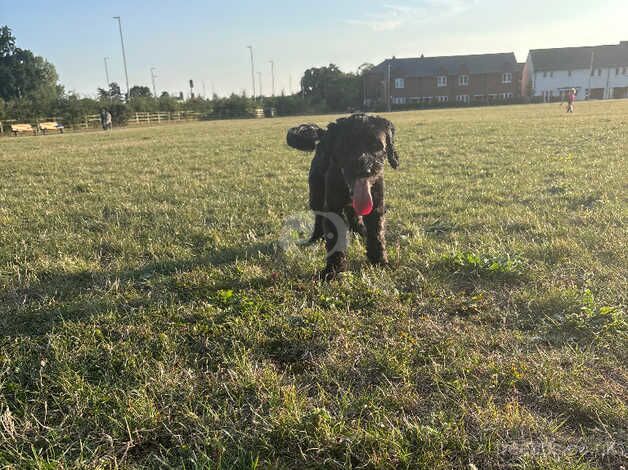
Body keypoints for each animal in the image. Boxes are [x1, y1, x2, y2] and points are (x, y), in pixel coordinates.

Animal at [288, 114, 400, 280]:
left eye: (376, 146)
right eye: (346, 146)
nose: (364, 168)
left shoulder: (376, 206)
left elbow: (377, 234)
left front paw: (379, 261)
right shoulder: (332, 209)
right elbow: (335, 238)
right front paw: (333, 270)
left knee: (354, 216)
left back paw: (361, 232)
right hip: (316, 195)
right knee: (319, 217)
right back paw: (316, 238)